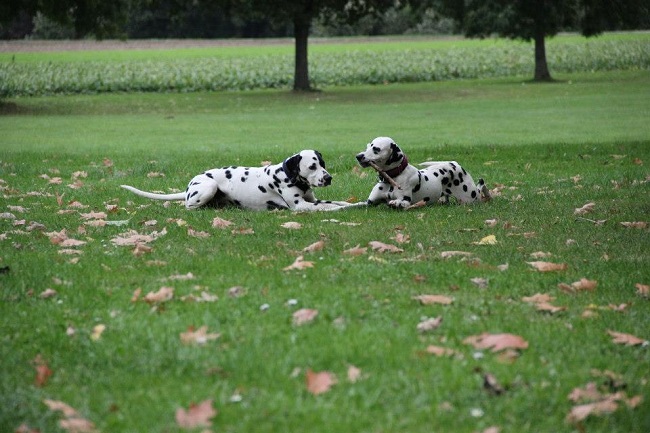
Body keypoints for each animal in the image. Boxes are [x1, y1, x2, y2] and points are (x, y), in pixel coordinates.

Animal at [121, 150, 354, 211]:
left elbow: (337, 202)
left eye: (323, 163)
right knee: (188, 206)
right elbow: (328, 208)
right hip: (209, 186)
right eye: (312, 166)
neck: (286, 174)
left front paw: (351, 204)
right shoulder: (301, 206)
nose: (329, 178)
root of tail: (189, 185)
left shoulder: (312, 200)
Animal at [355, 137, 490, 208]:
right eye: (368, 146)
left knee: (481, 185)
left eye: (376, 149)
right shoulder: (368, 203)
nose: (358, 156)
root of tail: (454, 164)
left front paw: (396, 202)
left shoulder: (406, 201)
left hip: (470, 198)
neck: (393, 178)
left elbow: (401, 202)